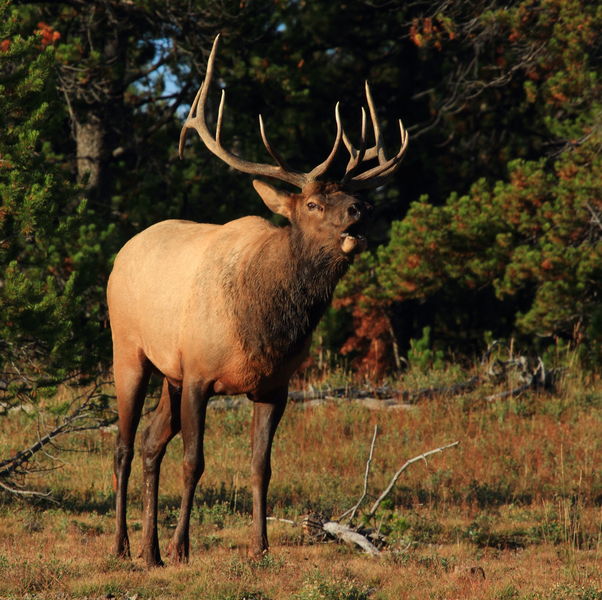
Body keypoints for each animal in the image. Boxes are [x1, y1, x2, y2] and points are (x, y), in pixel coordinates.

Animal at [108, 34, 408, 568]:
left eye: (350, 196)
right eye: (312, 203)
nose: (362, 207)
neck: (265, 326)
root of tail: (121, 253)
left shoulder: (275, 385)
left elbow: (260, 466)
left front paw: (260, 547)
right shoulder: (200, 373)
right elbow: (195, 461)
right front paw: (184, 548)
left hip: (169, 373)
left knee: (149, 442)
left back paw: (150, 551)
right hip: (129, 350)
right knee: (123, 445)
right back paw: (124, 546)